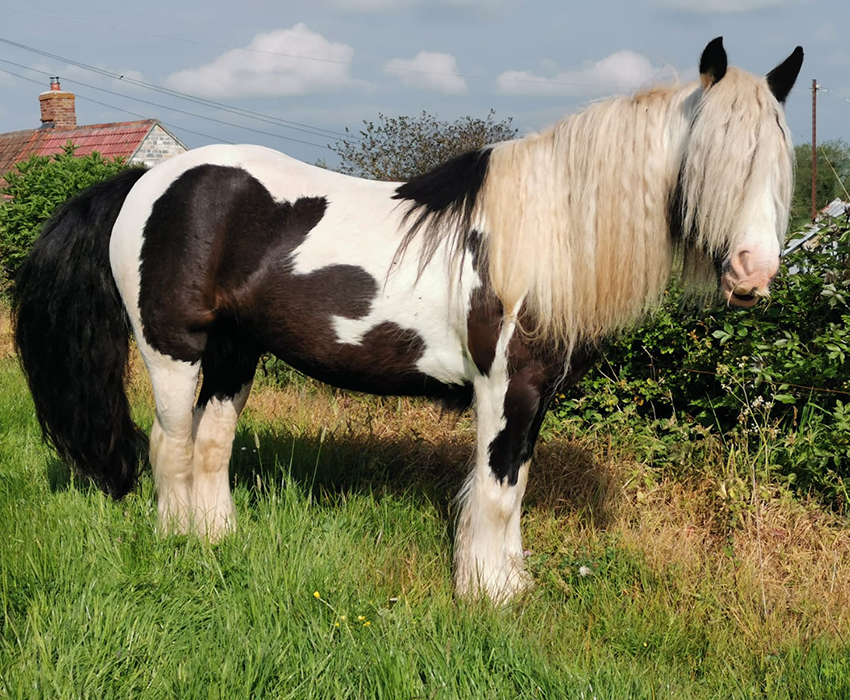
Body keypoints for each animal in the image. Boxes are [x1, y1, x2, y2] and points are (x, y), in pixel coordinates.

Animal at [16, 38, 804, 600]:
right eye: (709, 163)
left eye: (778, 164)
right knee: (170, 447)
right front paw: (487, 596)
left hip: (235, 354)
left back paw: (218, 542)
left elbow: (515, 487)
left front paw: (510, 584)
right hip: (173, 351)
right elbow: (495, 492)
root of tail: (146, 179)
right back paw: (178, 544)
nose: (754, 273)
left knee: (211, 447)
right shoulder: (505, 390)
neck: (539, 232)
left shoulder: (534, 397)